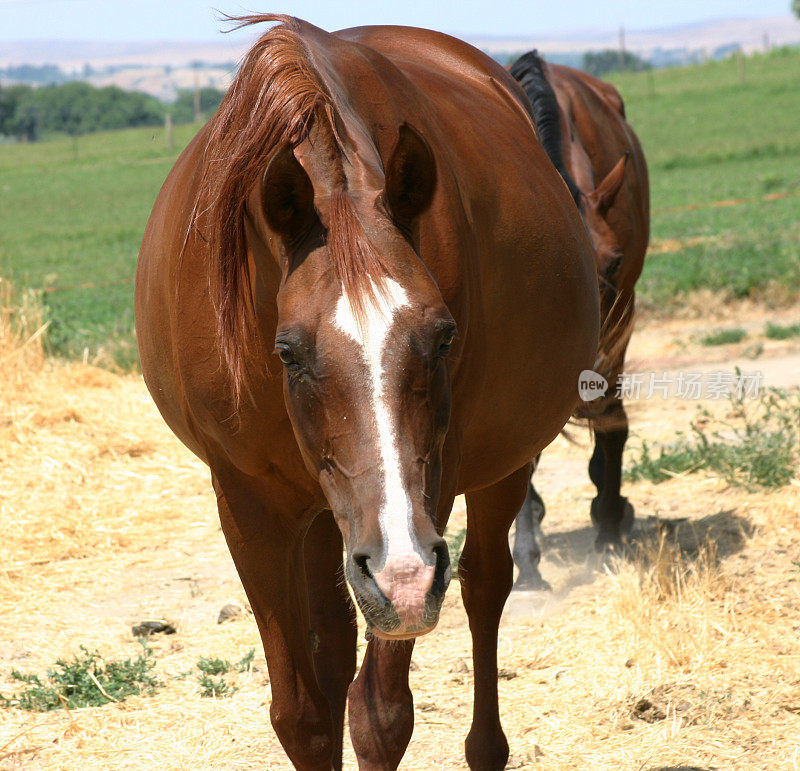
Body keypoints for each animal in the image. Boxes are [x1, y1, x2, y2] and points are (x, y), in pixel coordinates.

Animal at [138, 15, 600, 768]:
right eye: (290, 352)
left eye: (442, 337)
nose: (402, 575)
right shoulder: (247, 501)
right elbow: (303, 713)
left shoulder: (430, 491)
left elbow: (380, 714)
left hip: (494, 468)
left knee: (486, 586)